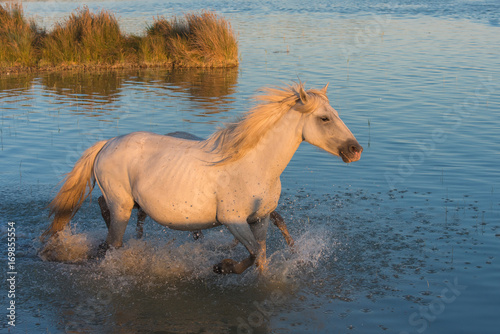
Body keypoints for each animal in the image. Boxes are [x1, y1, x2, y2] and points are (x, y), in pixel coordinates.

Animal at [43, 83, 362, 274]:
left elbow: (260, 255)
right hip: (122, 202)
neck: (255, 165)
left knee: (105, 211)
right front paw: (224, 267)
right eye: (324, 118)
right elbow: (254, 254)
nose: (355, 150)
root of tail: (107, 142)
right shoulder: (234, 221)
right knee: (113, 234)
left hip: (125, 201)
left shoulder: (259, 219)